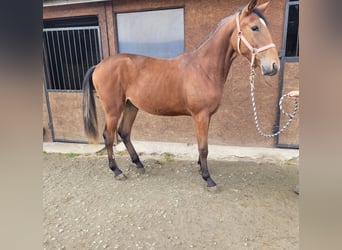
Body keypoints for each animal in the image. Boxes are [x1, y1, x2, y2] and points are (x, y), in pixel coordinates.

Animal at [83, 0, 280, 188]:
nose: (274, 65)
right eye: (255, 27)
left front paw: (201, 168)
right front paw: (208, 179)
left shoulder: (206, 116)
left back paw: (138, 164)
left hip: (131, 106)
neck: (204, 68)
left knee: (124, 132)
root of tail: (98, 65)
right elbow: (204, 147)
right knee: (109, 136)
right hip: (113, 109)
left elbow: (202, 144)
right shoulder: (200, 115)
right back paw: (117, 171)